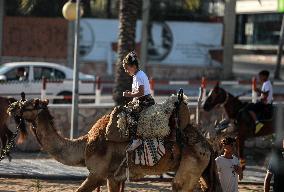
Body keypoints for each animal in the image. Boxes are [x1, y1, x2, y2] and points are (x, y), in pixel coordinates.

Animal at [8, 96, 222, 192]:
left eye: (28, 104)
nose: (10, 107)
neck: (84, 145)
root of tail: (208, 146)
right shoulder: (115, 177)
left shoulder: (99, 174)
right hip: (200, 171)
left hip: (190, 167)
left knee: (178, 185)